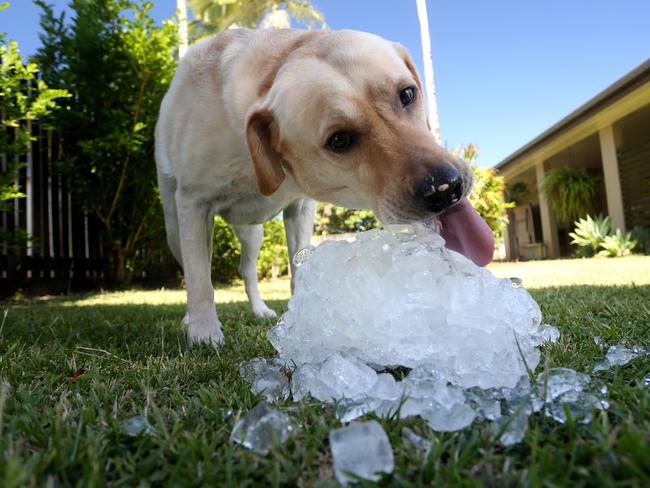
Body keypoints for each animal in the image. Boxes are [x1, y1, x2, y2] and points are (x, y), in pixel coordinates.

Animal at [156, 28, 492, 346]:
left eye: (407, 94)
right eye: (339, 140)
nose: (445, 189)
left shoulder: (300, 208)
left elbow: (298, 268)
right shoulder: (194, 202)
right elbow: (200, 279)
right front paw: (204, 333)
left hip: (254, 233)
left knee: (247, 270)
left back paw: (259, 309)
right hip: (174, 227)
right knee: (193, 267)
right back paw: (191, 318)